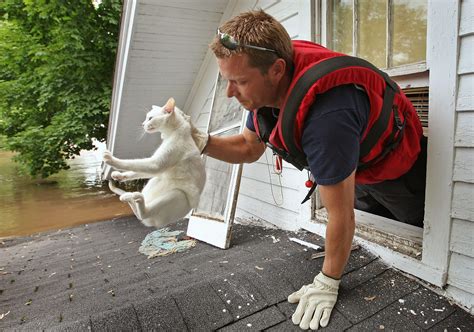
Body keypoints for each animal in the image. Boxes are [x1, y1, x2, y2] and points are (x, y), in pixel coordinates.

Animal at [103, 97, 206, 228]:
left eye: (150, 118)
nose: (142, 124)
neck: (173, 132)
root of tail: (151, 222)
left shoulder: (156, 164)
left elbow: (132, 163)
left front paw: (111, 159)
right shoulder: (155, 167)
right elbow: (136, 170)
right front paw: (119, 175)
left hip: (178, 195)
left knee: (144, 214)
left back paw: (137, 199)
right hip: (156, 180)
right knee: (140, 213)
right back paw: (129, 197)